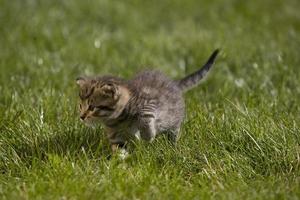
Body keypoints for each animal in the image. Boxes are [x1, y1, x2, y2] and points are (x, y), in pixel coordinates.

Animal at [76, 49, 219, 153]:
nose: (82, 117)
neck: (117, 120)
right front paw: (120, 164)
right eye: (80, 106)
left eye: (92, 107)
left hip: (174, 120)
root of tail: (174, 84)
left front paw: (147, 136)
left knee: (174, 132)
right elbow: (119, 148)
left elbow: (145, 118)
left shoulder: (149, 104)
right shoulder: (115, 136)